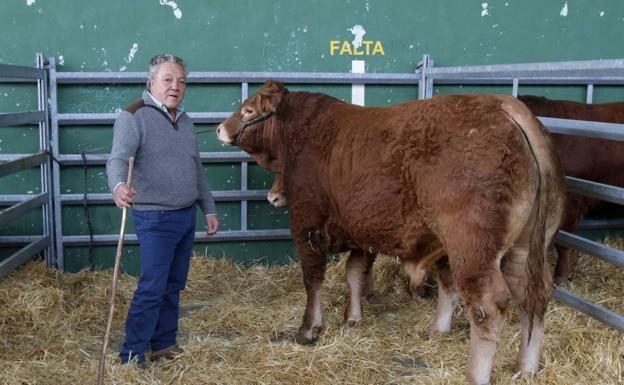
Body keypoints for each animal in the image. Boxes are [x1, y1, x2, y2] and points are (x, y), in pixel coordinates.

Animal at [218, 79, 564, 382]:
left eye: (248, 110)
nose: (221, 128)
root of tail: (505, 105)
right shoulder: (362, 230)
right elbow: (355, 273)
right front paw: (353, 317)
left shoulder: (306, 224)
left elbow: (313, 279)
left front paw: (309, 328)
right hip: (524, 247)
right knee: (531, 296)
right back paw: (524, 368)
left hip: (472, 247)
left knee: (488, 307)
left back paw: (476, 375)